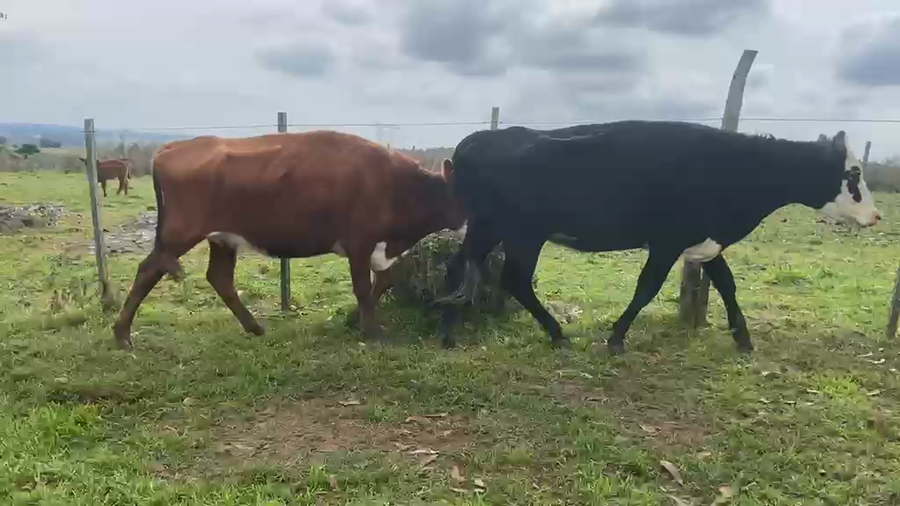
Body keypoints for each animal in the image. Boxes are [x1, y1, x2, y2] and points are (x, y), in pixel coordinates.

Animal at [112, 130, 466, 350]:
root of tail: (172, 147)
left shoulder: (379, 248)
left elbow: (383, 281)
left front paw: (356, 320)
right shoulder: (359, 242)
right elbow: (364, 288)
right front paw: (373, 331)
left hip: (223, 238)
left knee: (220, 278)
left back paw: (255, 328)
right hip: (180, 233)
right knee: (148, 270)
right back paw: (122, 335)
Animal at [436, 120, 882, 354]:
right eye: (853, 174)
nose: (876, 215)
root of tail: (478, 138)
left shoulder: (705, 239)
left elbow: (727, 284)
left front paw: (743, 338)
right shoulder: (668, 241)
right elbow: (647, 287)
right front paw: (617, 337)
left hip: (488, 228)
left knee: (459, 266)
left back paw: (447, 332)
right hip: (522, 234)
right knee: (514, 279)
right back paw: (557, 333)